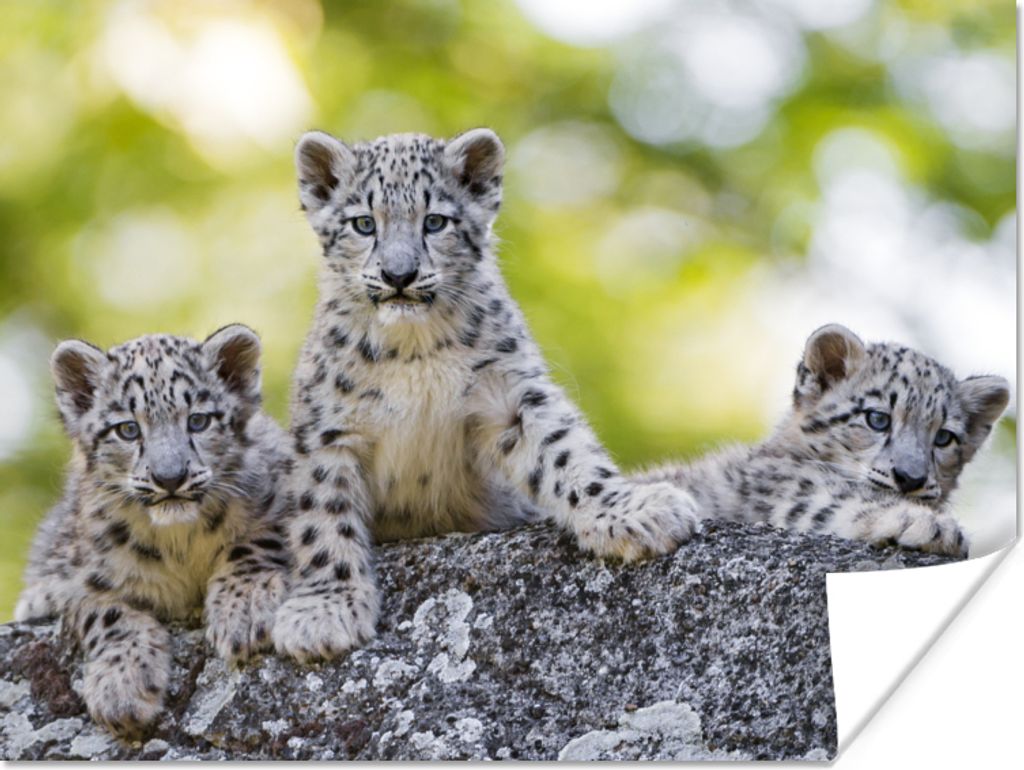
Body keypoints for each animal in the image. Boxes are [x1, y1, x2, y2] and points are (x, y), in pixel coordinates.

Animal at [14, 325, 295, 736]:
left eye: (198, 421)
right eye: (128, 429)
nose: (170, 477)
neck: (179, 542)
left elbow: (258, 539)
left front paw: (244, 610)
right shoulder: (73, 577)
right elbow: (103, 610)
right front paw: (122, 689)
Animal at [271, 128, 700, 662]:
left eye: (435, 221)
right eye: (363, 224)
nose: (399, 275)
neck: (413, 350)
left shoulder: (511, 393)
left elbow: (566, 452)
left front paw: (633, 511)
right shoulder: (328, 429)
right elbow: (323, 515)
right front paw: (323, 612)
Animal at [636, 323, 1009, 558]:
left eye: (944, 437)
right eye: (877, 418)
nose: (910, 478)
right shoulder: (786, 494)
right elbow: (834, 504)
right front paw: (932, 526)